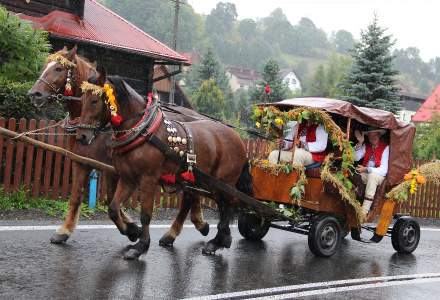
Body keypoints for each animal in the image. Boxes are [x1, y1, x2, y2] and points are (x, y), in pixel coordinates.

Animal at [27, 45, 210, 245]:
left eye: (59, 68)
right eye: (45, 65)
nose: (34, 94)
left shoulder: (112, 168)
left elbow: (110, 198)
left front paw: (131, 229)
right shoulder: (82, 162)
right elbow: (76, 196)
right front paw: (65, 230)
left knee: (190, 196)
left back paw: (176, 231)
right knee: (192, 194)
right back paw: (195, 224)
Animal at [77, 71, 249, 260]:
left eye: (94, 101)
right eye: (82, 99)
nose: (81, 136)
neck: (143, 131)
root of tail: (238, 139)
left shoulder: (148, 180)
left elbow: (145, 215)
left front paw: (141, 246)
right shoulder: (128, 178)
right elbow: (113, 208)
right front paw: (132, 232)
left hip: (222, 184)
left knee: (225, 208)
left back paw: (217, 241)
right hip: (204, 182)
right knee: (209, 204)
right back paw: (212, 238)